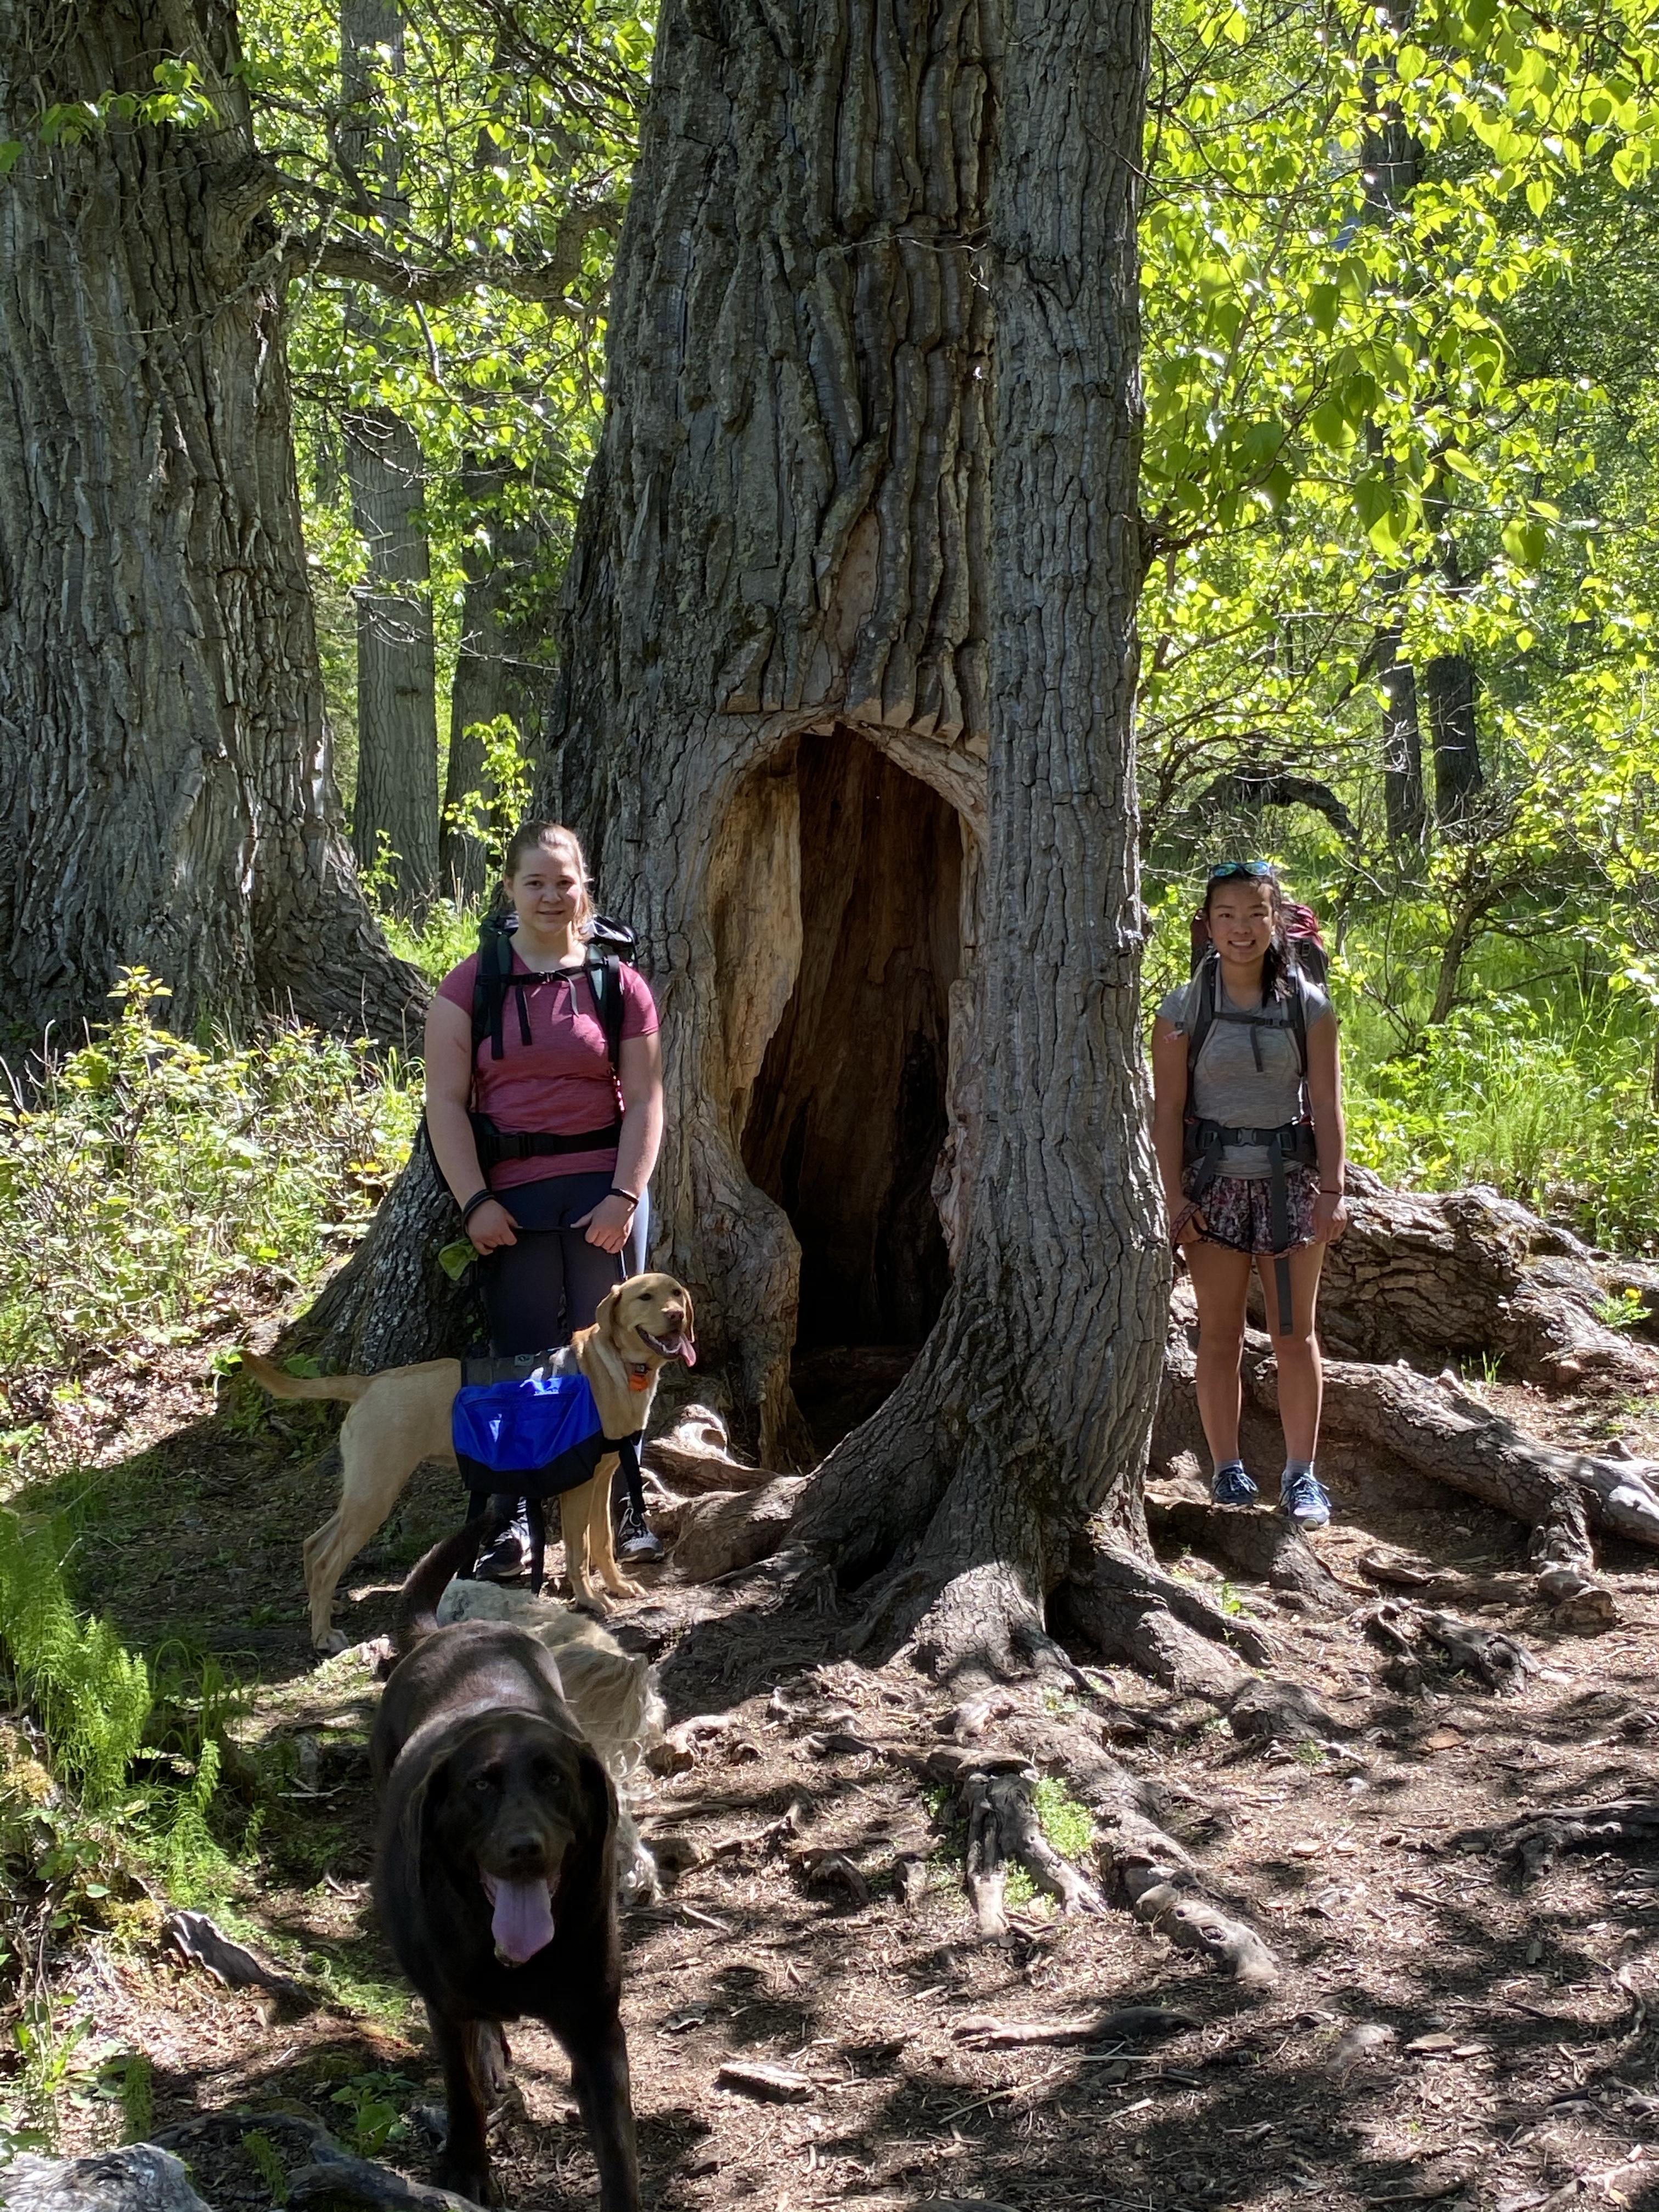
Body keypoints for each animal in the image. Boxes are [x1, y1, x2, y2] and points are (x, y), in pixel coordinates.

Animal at [240, 1273, 695, 1653]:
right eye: (645, 1297)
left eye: (675, 1293)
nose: (675, 1316)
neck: (614, 1367)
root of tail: (369, 1383)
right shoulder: (579, 1487)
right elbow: (580, 1553)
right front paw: (590, 1600)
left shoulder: (601, 1480)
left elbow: (601, 1544)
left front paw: (618, 1587)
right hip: (376, 1492)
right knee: (325, 1557)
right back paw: (323, 1635)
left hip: (363, 1491)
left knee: (313, 1544)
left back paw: (322, 1612)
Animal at [372, 1520, 639, 2210]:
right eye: (481, 1785)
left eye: (553, 1778)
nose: (525, 1847)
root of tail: (443, 1632)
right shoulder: (445, 2005)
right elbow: (460, 2086)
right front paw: (467, 2170)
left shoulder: (596, 2026)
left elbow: (616, 2147)